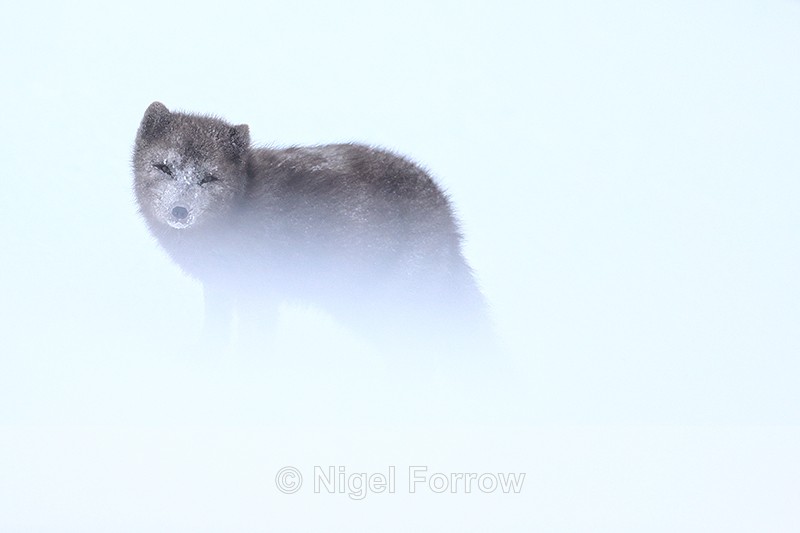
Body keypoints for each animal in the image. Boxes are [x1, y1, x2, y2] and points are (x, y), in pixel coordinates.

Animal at [131, 102, 492, 354]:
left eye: (209, 178)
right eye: (164, 167)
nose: (180, 211)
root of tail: (447, 216)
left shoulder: (260, 292)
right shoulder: (221, 285)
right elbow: (216, 330)